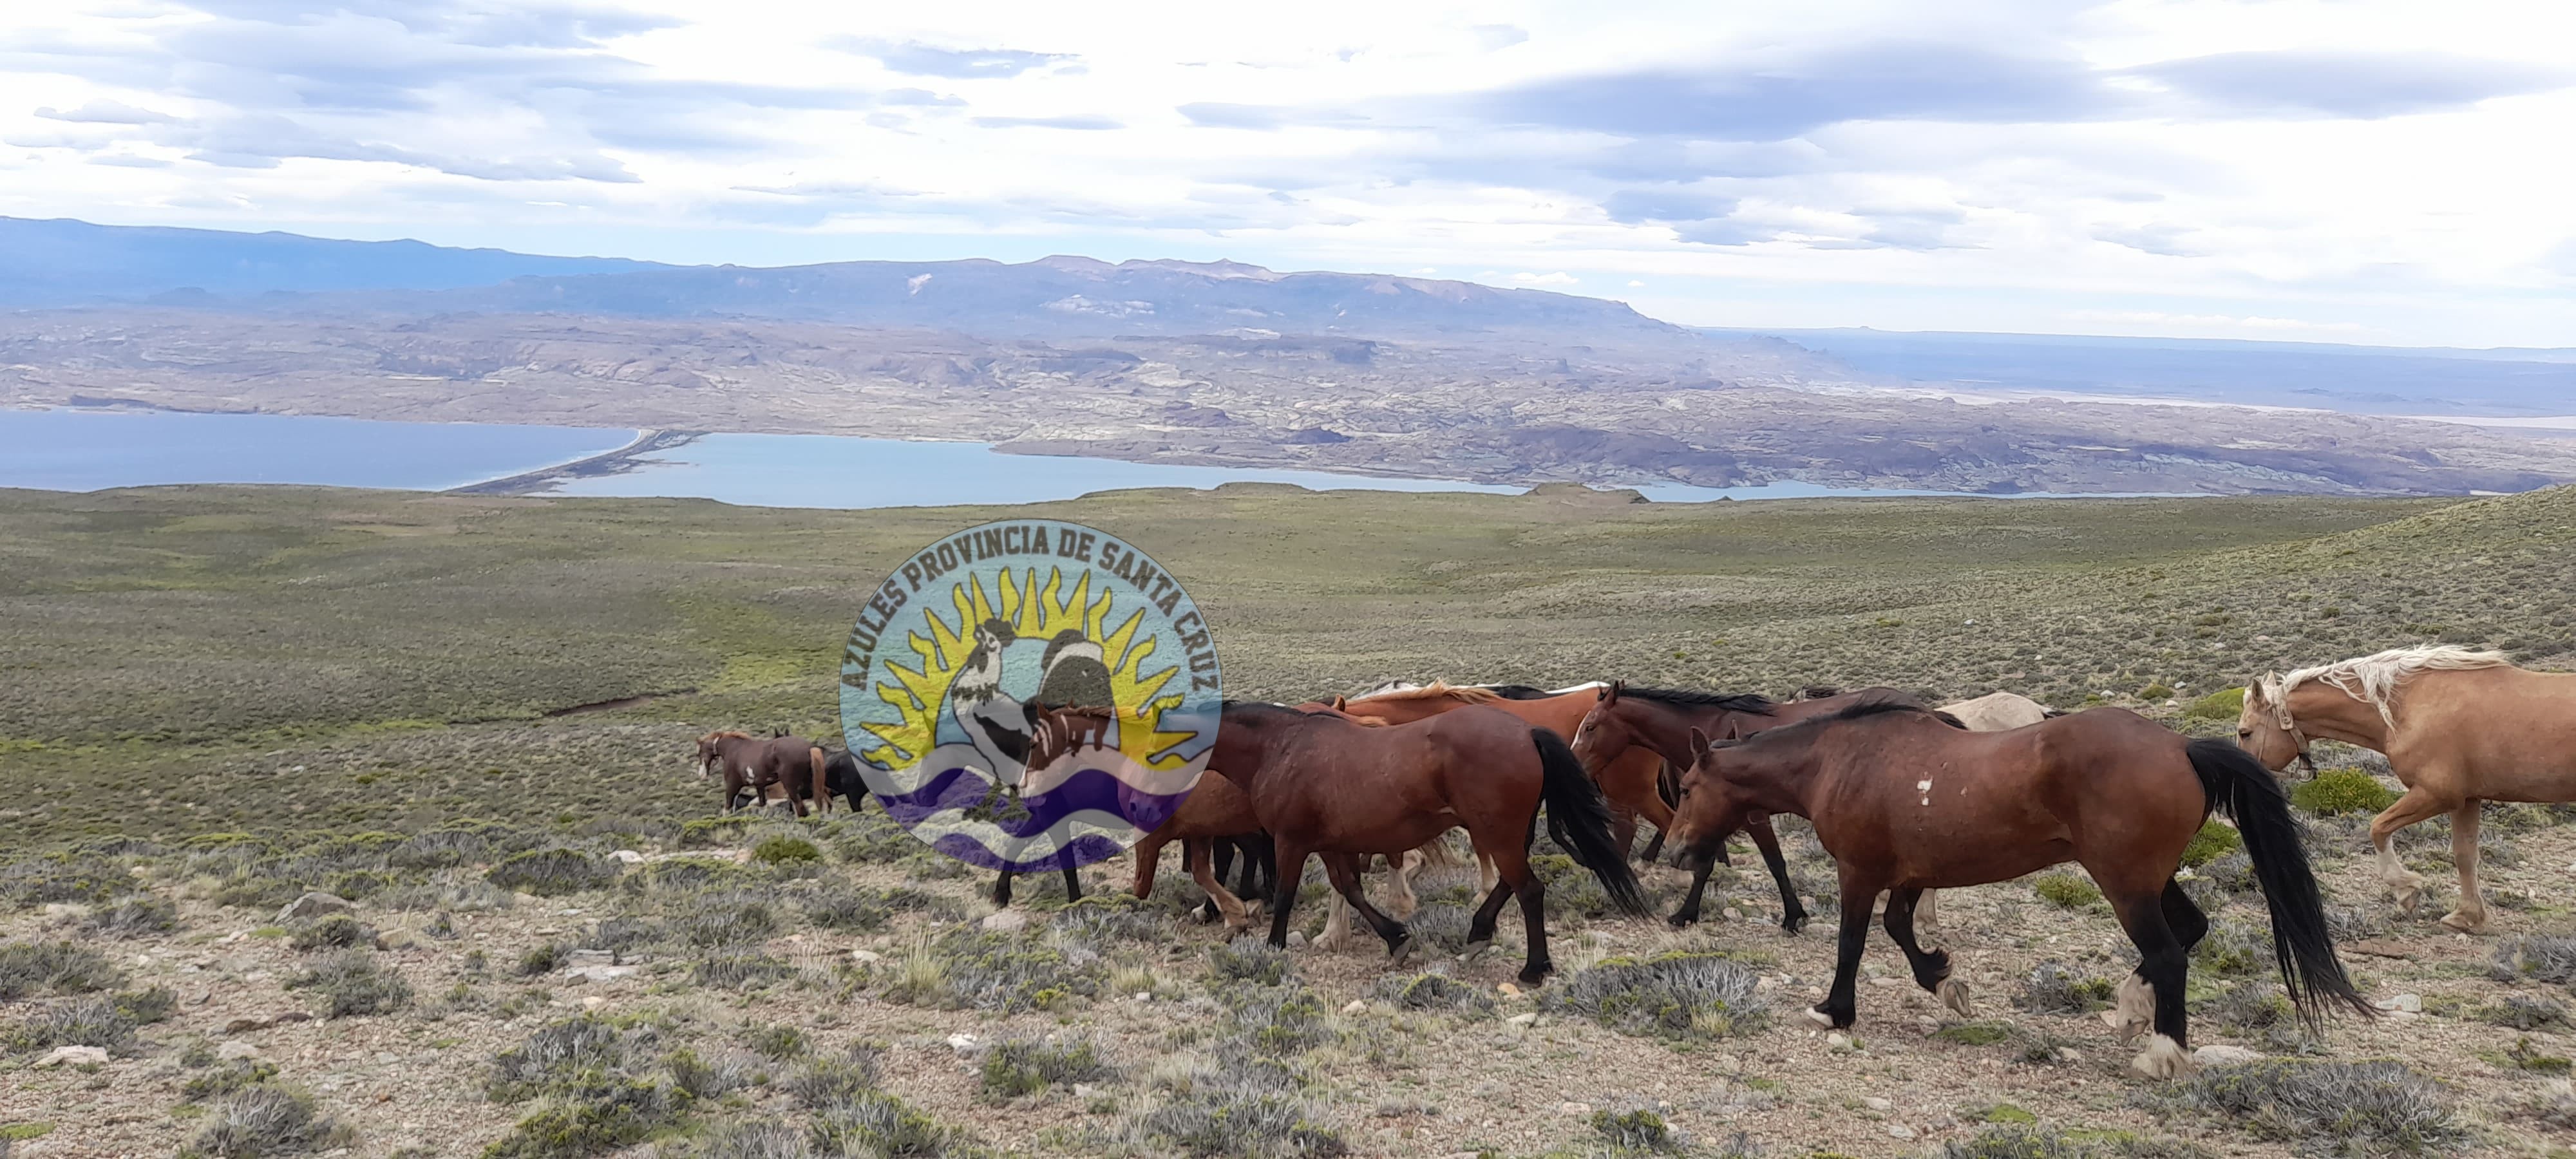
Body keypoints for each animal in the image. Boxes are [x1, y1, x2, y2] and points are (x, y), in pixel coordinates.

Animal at [696, 731, 824, 819]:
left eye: (699, 753)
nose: (701, 775)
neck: (733, 749)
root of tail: (809, 748)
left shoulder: (733, 785)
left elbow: (728, 807)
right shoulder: (760, 785)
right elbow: (762, 804)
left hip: (790, 784)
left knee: (799, 805)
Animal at [1206, 701, 1649, 984]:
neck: (1281, 747)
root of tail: (1526, 732)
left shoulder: (1291, 841)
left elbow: (1285, 895)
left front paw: (1273, 946)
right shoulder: (1331, 844)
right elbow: (1351, 890)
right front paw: (1397, 940)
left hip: (1499, 835)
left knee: (1529, 890)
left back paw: (1533, 969)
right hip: (1508, 835)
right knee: (1511, 883)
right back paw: (1479, 933)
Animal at [1546, 685, 1937, 927]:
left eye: (1591, 726)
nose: (1573, 762)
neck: (1711, 730)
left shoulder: (1751, 816)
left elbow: (1773, 863)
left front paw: (1792, 916)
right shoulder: (1714, 816)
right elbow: (1709, 864)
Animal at [1659, 695, 2360, 1077]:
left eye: (1687, 788)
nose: (1674, 852)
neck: (1841, 761)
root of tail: (2182, 746)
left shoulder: (1860, 872)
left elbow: (1853, 941)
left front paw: (1834, 1008)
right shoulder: (1911, 874)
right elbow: (1900, 931)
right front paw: (1945, 981)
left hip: (2125, 883)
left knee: (2168, 954)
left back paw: (2163, 1050)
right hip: (2151, 879)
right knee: (2189, 932)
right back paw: (2133, 1009)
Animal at [2236, 646, 2576, 938]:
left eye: (2245, 732)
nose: (2243, 781)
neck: (2408, 708)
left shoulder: (2435, 795)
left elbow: (2378, 828)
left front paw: (2406, 889)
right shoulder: (2466, 800)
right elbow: (2465, 856)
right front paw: (2467, 916)